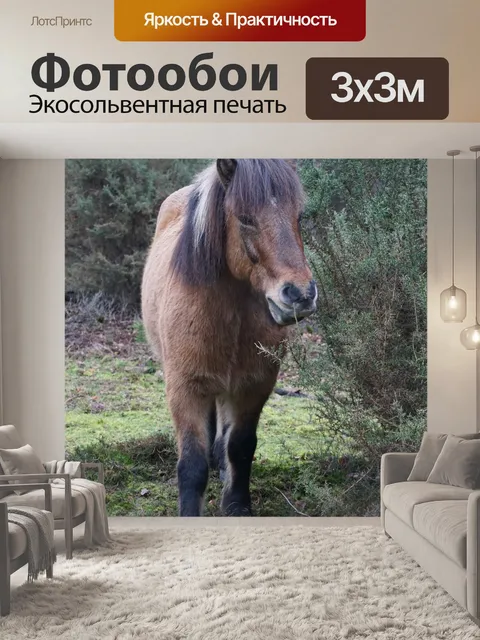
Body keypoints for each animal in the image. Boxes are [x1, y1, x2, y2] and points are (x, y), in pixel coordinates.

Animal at [141, 159, 317, 516]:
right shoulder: (185, 389)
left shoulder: (254, 386)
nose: (300, 295)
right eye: (245, 218)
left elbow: (240, 446)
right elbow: (192, 464)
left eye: (299, 216)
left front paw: (237, 505)